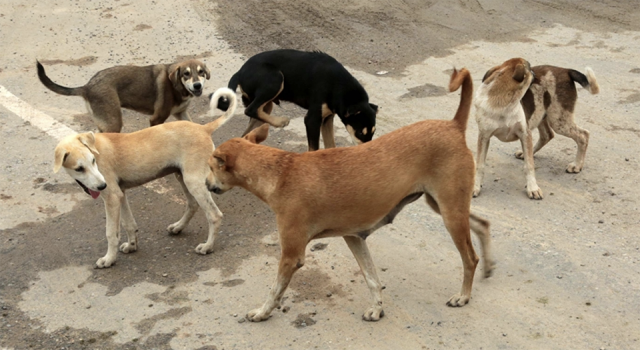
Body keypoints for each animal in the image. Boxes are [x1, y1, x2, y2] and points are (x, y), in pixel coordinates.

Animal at [37, 59, 210, 132]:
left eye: (201, 72)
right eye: (186, 74)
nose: (197, 85)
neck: (177, 86)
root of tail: (87, 87)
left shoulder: (181, 113)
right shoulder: (156, 118)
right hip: (113, 122)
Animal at [53, 87, 238, 268]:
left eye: (93, 161)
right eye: (79, 169)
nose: (101, 186)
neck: (95, 148)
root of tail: (203, 128)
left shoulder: (112, 197)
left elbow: (111, 233)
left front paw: (109, 259)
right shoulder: (120, 194)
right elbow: (129, 224)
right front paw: (132, 246)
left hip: (193, 181)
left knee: (214, 215)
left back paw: (207, 247)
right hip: (182, 176)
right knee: (193, 204)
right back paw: (178, 227)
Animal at [218, 49, 378, 150]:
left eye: (373, 132)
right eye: (360, 133)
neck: (340, 86)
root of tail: (239, 72)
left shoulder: (327, 118)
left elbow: (330, 145)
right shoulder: (312, 119)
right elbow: (314, 149)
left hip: (266, 105)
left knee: (248, 128)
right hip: (275, 79)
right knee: (250, 109)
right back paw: (281, 121)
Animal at [470, 58, 540, 198]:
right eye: (529, 68)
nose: (535, 73)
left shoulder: (525, 134)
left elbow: (529, 165)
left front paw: (532, 187)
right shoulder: (484, 136)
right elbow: (480, 165)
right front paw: (475, 186)